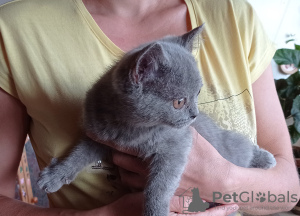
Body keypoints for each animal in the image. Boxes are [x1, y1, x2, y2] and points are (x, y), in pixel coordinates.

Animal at [37, 25, 276, 216]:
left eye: (198, 93)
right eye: (179, 102)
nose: (194, 114)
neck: (131, 130)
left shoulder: (176, 146)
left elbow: (159, 187)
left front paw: (155, 211)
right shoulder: (100, 137)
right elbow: (79, 154)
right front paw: (55, 175)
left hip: (229, 144)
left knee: (243, 149)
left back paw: (265, 159)